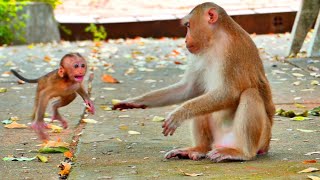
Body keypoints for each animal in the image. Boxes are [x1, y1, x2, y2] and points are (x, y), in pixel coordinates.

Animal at [114, 1, 274, 162]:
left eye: (188, 26)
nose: (185, 39)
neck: (215, 40)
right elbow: (189, 88)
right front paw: (134, 101)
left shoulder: (232, 51)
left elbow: (230, 92)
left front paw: (179, 114)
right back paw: (198, 149)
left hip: (260, 139)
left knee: (250, 94)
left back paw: (241, 153)